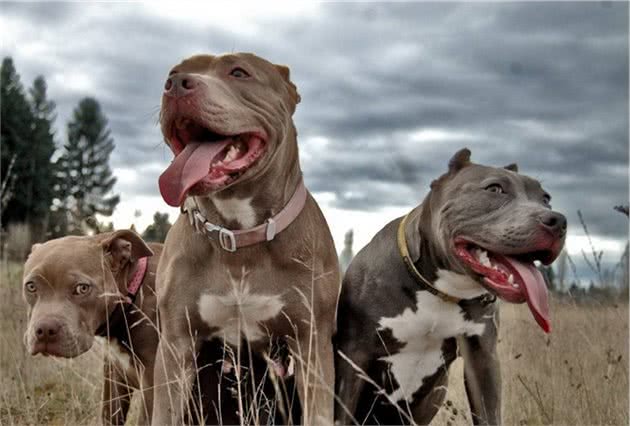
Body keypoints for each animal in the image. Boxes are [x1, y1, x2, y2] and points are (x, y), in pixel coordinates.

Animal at [22, 231, 160, 424]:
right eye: (31, 286)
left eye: (82, 288)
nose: (45, 331)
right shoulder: (114, 373)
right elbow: (109, 414)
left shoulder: (155, 383)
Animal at [152, 54, 340, 426]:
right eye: (172, 72)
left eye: (239, 72)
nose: (176, 84)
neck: (238, 237)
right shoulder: (175, 345)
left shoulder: (312, 345)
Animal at [336, 148, 568, 424]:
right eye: (495, 189)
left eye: (546, 198)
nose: (558, 221)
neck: (440, 290)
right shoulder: (354, 356)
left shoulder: (483, 359)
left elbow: (489, 412)